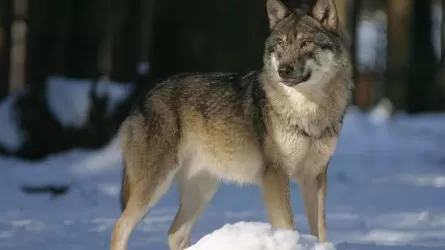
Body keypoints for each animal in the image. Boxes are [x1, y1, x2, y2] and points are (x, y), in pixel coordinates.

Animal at [110, 0, 350, 249]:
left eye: (306, 43)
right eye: (281, 44)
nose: (283, 70)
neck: (309, 112)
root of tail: (142, 98)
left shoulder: (315, 177)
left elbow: (320, 231)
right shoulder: (275, 176)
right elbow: (288, 225)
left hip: (202, 190)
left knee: (175, 233)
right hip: (155, 185)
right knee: (120, 227)